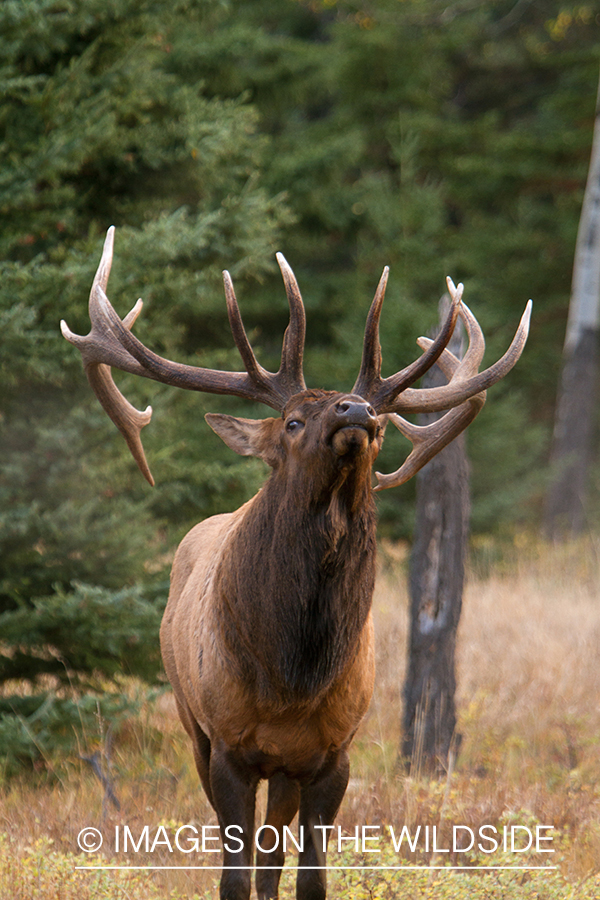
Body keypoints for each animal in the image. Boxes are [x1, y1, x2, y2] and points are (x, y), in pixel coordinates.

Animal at [61, 230, 528, 900]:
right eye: (293, 420)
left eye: (381, 429)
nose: (358, 410)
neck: (292, 677)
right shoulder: (227, 743)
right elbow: (231, 876)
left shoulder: (333, 754)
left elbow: (307, 877)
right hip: (192, 723)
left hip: (284, 768)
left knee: (271, 854)